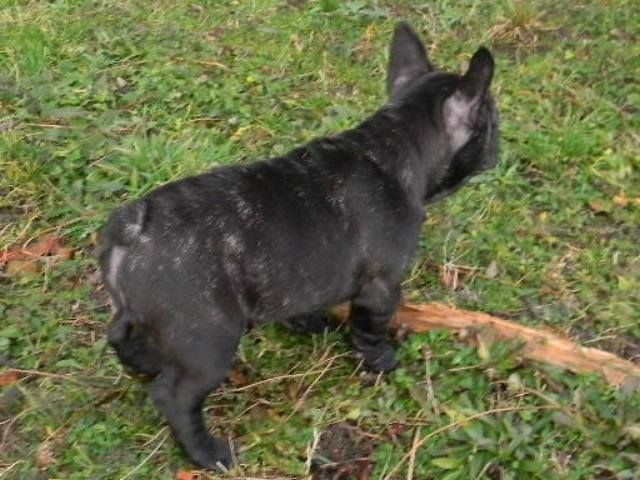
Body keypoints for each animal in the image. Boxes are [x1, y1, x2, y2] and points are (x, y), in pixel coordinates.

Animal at [99, 21, 500, 468]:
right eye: (492, 120)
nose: (499, 143)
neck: (397, 143)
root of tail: (135, 225)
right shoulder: (380, 288)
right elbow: (371, 329)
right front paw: (381, 362)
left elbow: (302, 304)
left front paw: (309, 324)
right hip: (209, 340)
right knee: (176, 397)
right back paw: (208, 453)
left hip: (142, 316)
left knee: (121, 336)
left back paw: (143, 365)